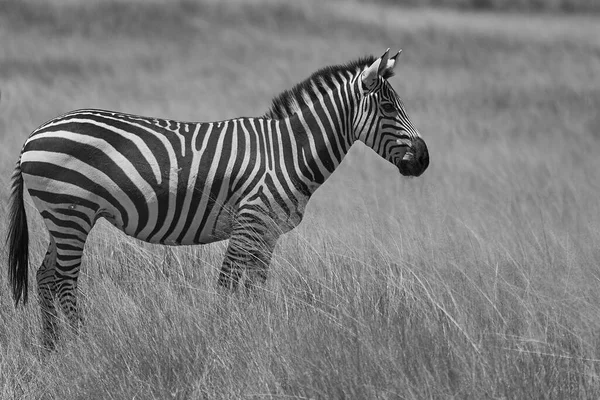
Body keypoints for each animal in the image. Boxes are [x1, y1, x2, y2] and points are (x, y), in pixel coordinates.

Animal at [4, 50, 426, 348]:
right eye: (388, 107)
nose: (424, 160)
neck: (289, 151)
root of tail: (33, 136)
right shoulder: (249, 222)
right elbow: (227, 287)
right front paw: (224, 341)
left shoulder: (267, 232)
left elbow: (254, 289)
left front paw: (257, 336)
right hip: (71, 213)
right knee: (63, 280)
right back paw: (82, 345)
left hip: (64, 219)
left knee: (45, 276)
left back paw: (52, 350)